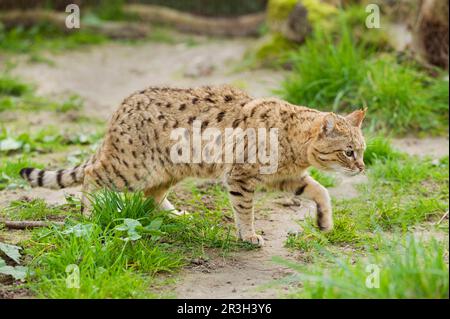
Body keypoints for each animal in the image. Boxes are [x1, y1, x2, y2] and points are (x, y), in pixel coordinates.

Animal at [19, 85, 368, 248]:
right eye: (349, 152)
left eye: (362, 151)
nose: (363, 168)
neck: (293, 142)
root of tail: (119, 110)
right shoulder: (241, 177)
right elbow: (245, 210)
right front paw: (248, 235)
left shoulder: (286, 178)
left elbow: (321, 191)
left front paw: (324, 222)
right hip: (131, 168)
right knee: (93, 175)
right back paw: (90, 214)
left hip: (168, 169)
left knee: (151, 196)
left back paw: (175, 214)